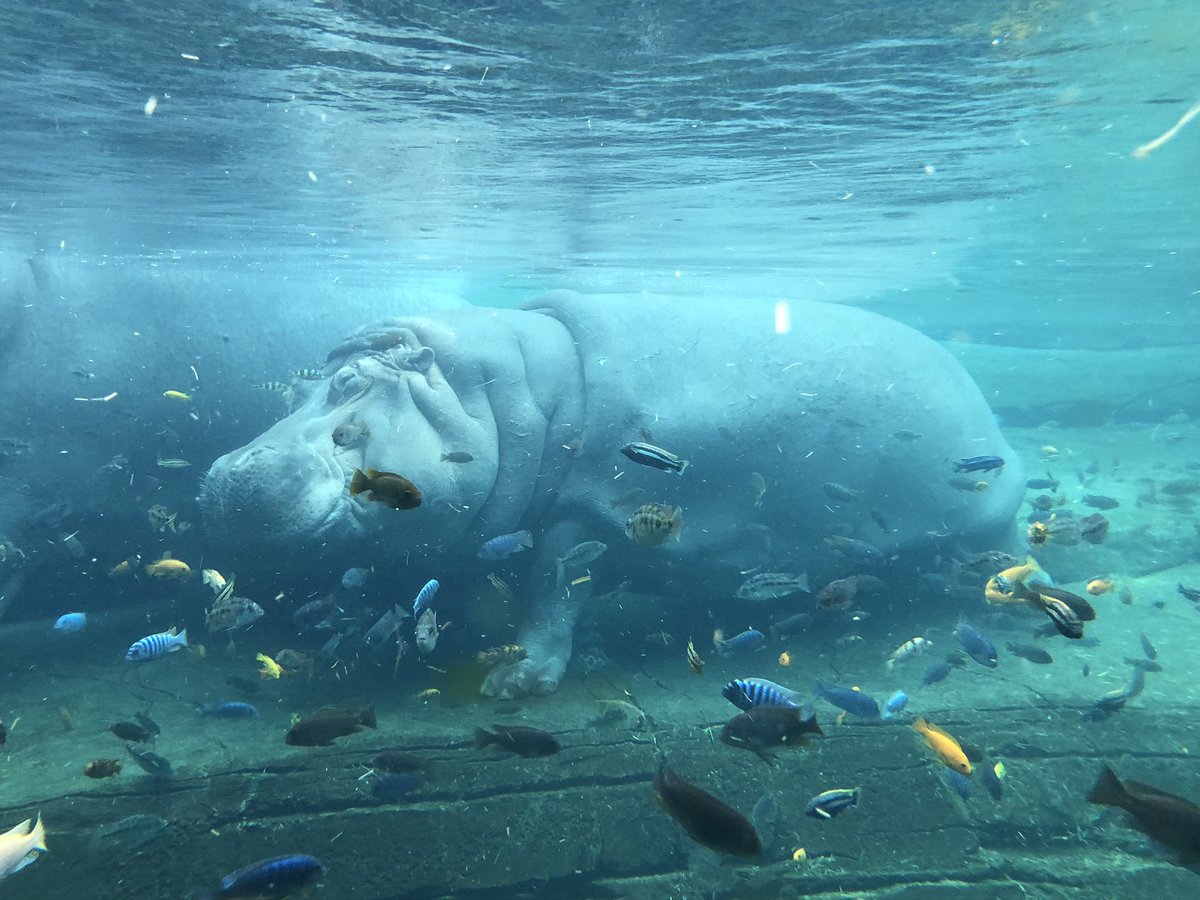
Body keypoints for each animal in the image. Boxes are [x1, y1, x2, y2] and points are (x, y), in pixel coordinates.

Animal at [201, 290, 1024, 698]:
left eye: (347, 386)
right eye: (297, 387)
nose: (225, 475)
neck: (511, 394)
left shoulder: (581, 514)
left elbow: (550, 594)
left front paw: (512, 681)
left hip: (995, 509)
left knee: (1010, 550)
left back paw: (1010, 595)